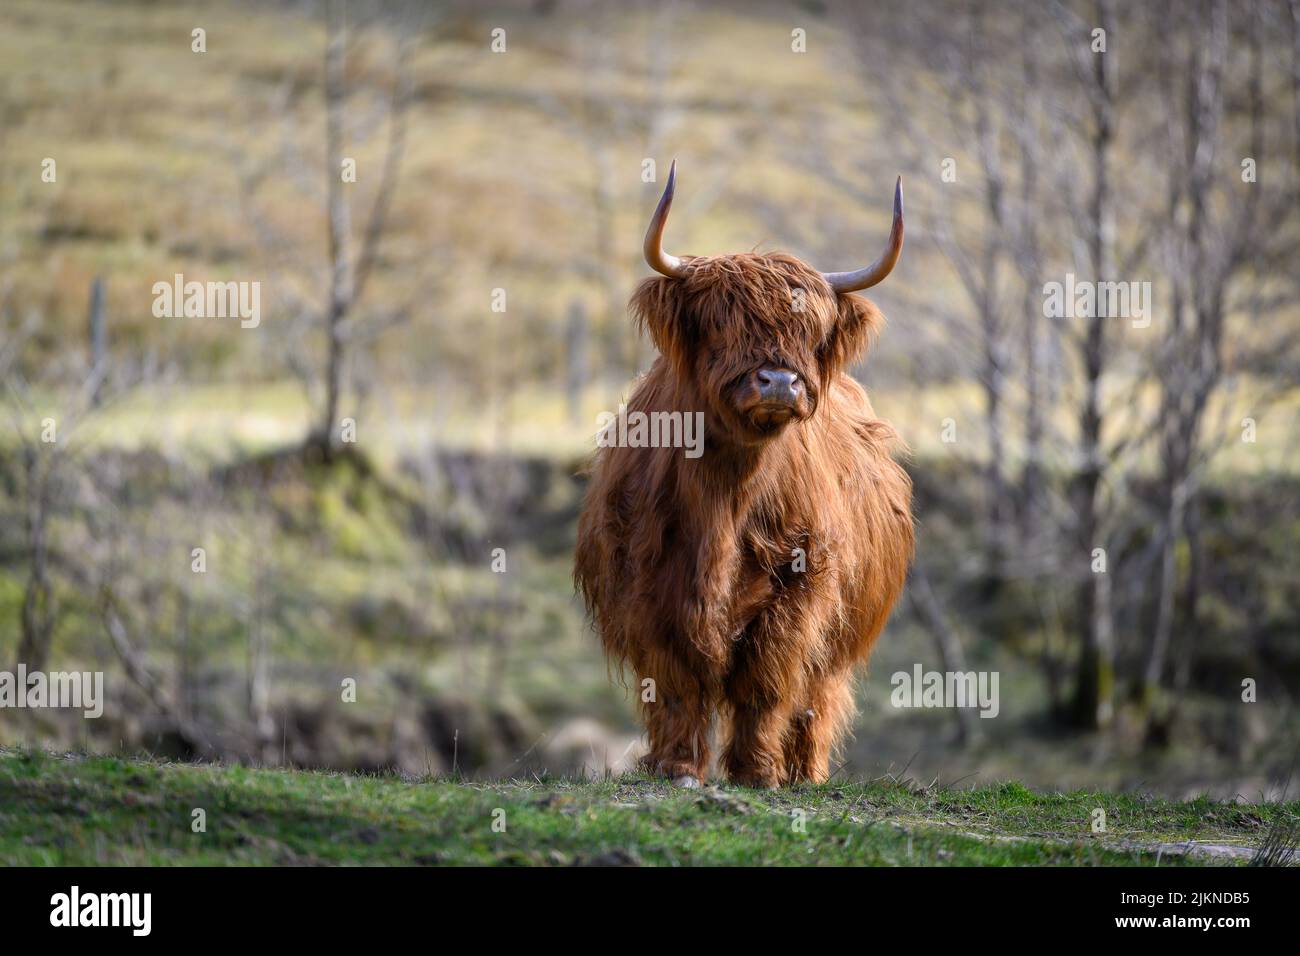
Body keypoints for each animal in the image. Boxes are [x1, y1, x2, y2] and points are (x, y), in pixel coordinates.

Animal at [579, 164, 915, 790]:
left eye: (811, 332)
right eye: (720, 322)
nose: (779, 381)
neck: (727, 498)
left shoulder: (802, 580)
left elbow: (766, 675)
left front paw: (757, 772)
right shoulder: (648, 583)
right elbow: (678, 681)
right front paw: (677, 766)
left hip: (839, 638)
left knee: (816, 697)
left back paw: (805, 772)